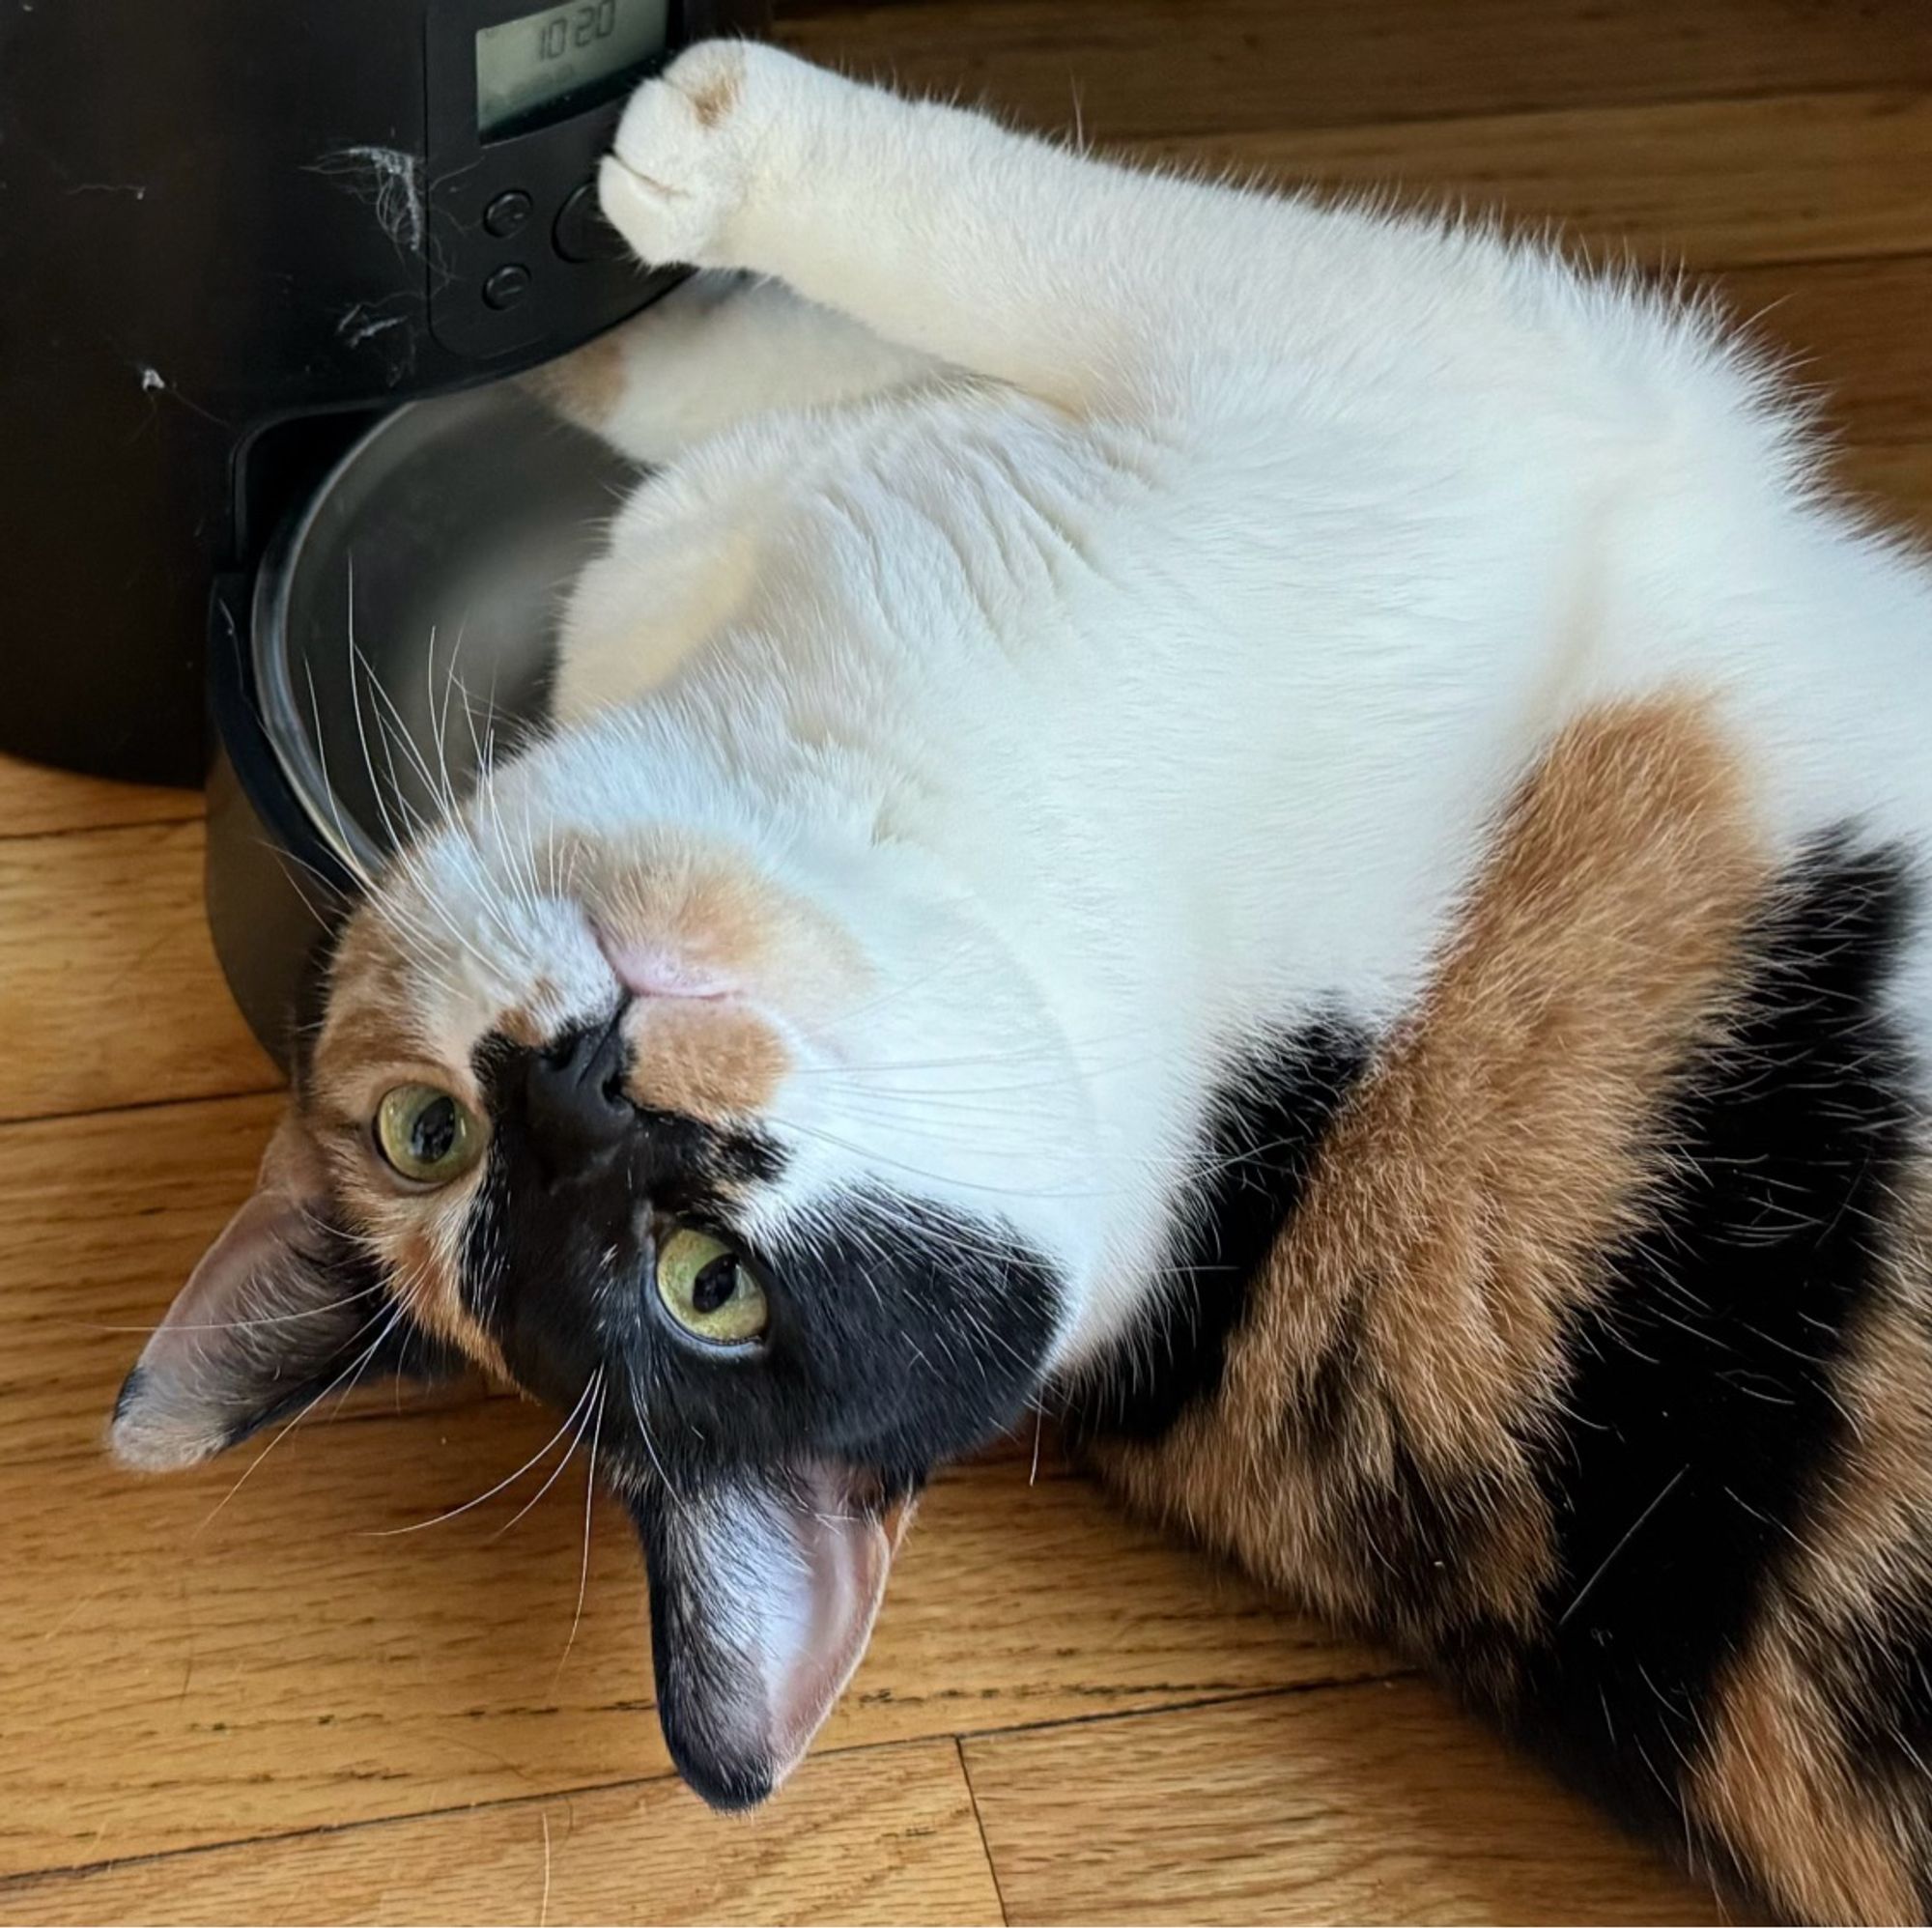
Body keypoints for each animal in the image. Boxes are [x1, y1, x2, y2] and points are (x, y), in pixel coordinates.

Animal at [109, 38, 1932, 1924]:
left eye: (426, 1132)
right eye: (711, 1282)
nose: (588, 1083)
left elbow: (829, 344)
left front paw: (615, 302)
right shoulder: (1414, 369)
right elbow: (1013, 249)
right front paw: (695, 162)